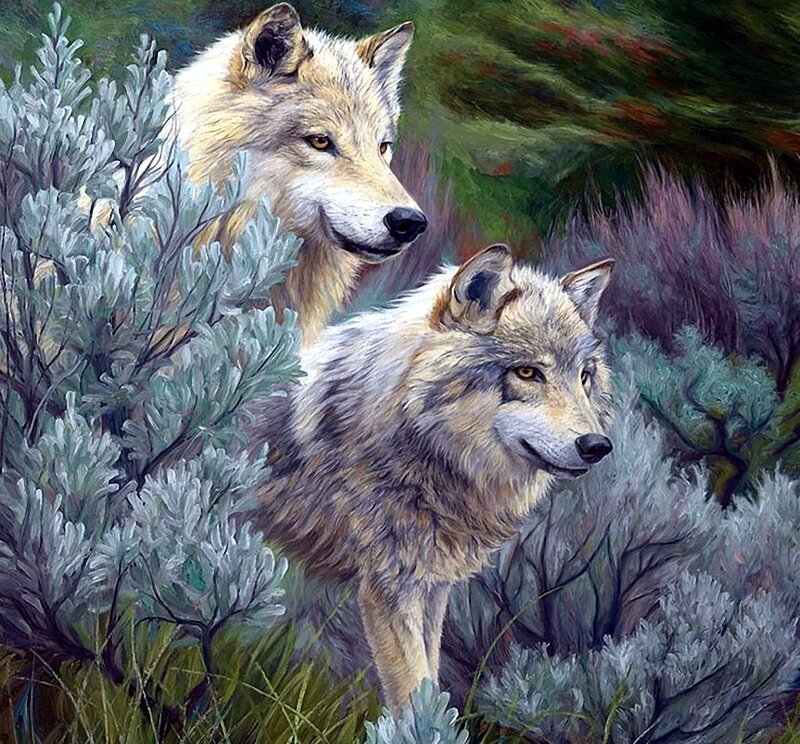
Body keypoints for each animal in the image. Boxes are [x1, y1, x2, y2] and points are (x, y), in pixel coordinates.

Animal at [250, 245, 615, 709]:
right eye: (527, 373)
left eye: (584, 376)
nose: (597, 445)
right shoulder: (389, 589)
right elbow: (413, 690)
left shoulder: (432, 585)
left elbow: (431, 675)